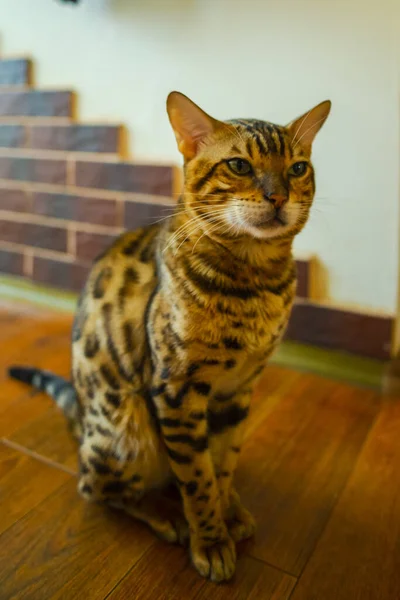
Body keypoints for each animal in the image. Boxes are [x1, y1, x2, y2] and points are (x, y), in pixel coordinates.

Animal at [8, 91, 332, 584]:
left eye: (297, 168)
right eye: (239, 165)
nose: (279, 195)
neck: (255, 283)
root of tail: (81, 419)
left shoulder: (239, 388)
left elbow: (222, 462)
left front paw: (227, 510)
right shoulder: (177, 388)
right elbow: (197, 478)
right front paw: (210, 539)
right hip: (127, 431)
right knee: (97, 488)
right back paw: (165, 516)